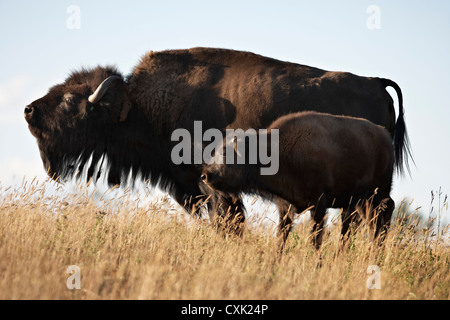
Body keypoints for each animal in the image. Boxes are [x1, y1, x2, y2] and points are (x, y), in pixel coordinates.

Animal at [24, 47, 412, 231]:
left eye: (71, 101)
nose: (29, 111)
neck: (139, 106)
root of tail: (376, 83)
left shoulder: (212, 183)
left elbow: (228, 221)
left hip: (374, 187)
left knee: (380, 214)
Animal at [202, 112, 396, 250]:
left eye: (226, 152)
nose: (205, 175)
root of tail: (386, 136)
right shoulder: (286, 208)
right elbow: (281, 239)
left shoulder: (319, 205)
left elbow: (315, 239)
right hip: (360, 201)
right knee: (362, 223)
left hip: (376, 194)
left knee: (382, 215)